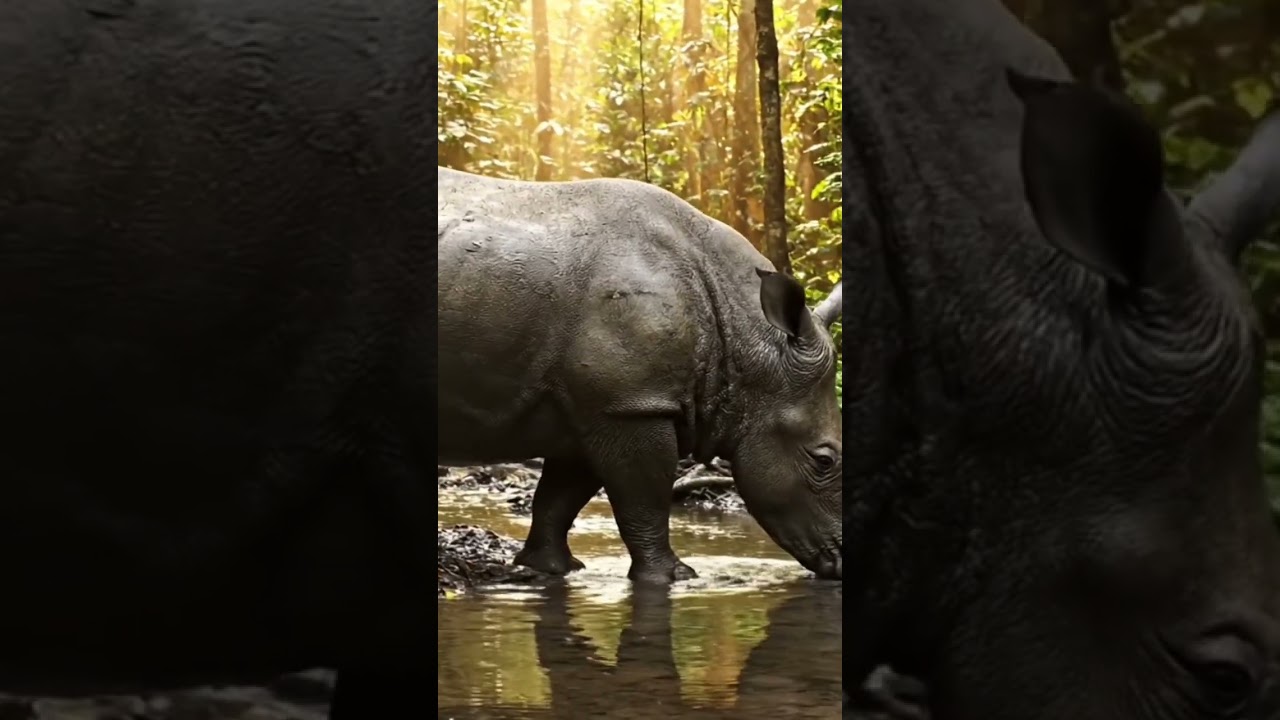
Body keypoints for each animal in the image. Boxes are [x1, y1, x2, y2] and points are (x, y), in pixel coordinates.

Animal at [437, 166, 843, 583]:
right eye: (824, 460)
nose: (843, 564)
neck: (750, 345)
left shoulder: (593, 407)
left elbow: (560, 496)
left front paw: (552, 569)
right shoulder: (632, 404)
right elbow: (646, 498)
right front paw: (675, 577)